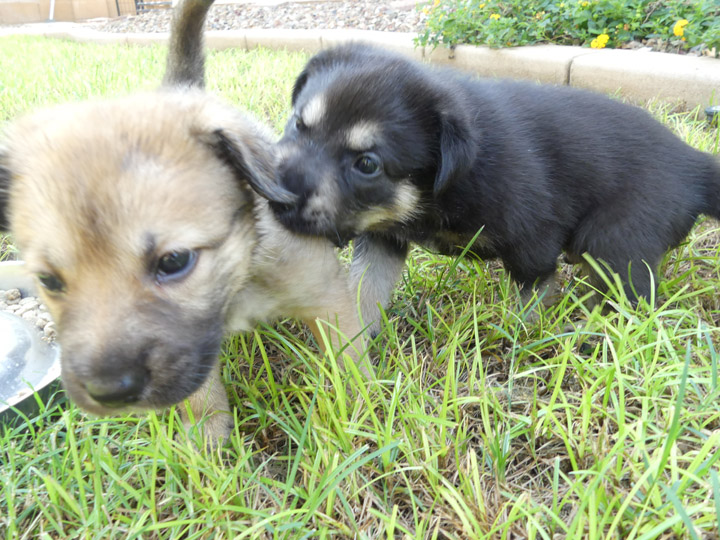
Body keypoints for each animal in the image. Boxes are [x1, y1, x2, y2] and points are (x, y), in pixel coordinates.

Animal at [0, 0, 362, 442]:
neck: (238, 277)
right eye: (48, 281)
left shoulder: (327, 296)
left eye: (174, 261)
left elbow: (348, 361)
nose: (109, 392)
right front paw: (209, 440)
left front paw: (359, 410)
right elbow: (200, 396)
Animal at [249, 41, 720, 334]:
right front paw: (353, 349)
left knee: (633, 303)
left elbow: (532, 296)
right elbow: (366, 290)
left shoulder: (533, 237)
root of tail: (693, 164)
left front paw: (520, 338)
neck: (441, 186)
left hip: (615, 239)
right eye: (299, 124)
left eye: (367, 165)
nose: (275, 199)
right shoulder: (384, 239)